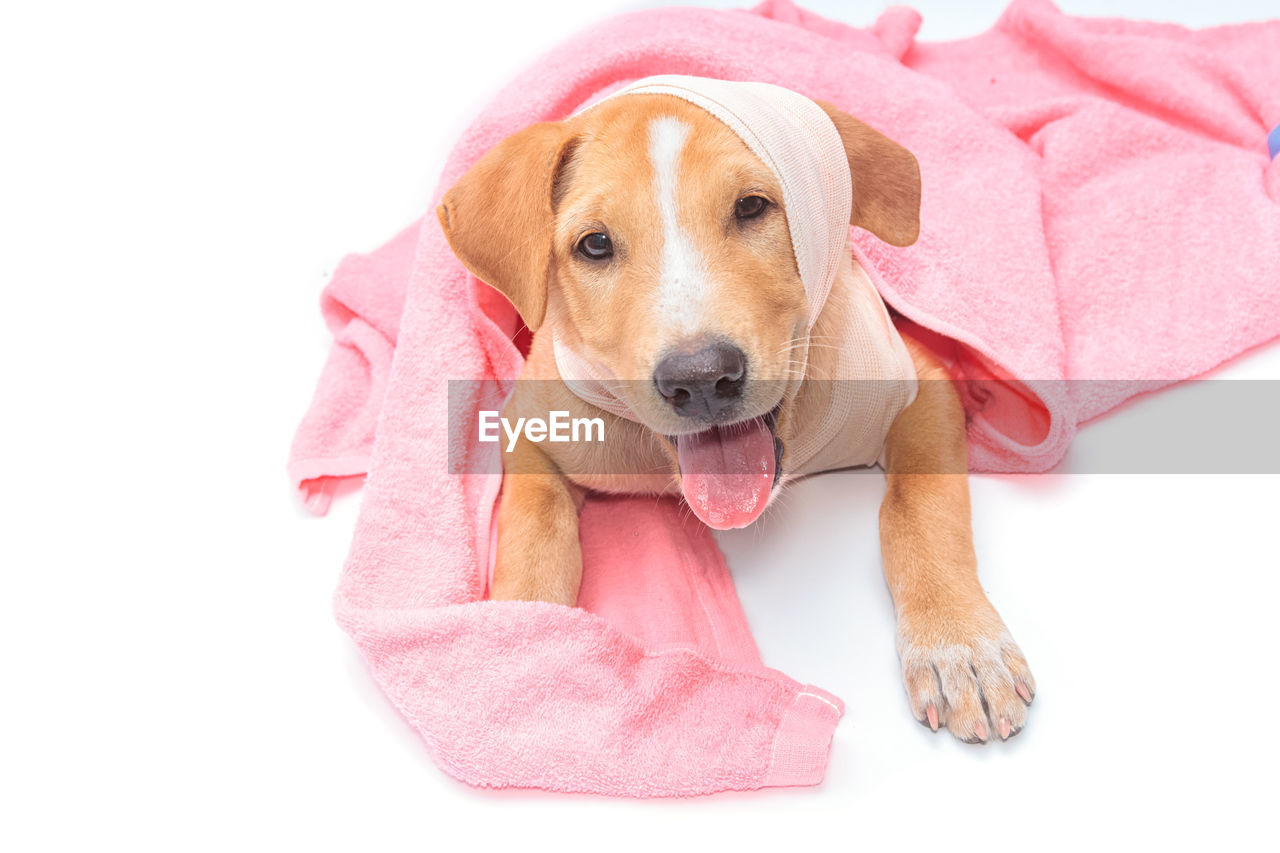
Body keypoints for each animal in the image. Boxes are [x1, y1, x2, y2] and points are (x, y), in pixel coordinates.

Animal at [435, 81, 1034, 742]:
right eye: (594, 244)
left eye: (751, 208)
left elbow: (920, 509)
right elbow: (533, 532)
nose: (701, 379)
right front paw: (525, 644)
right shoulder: (533, 424)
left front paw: (959, 645)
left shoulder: (918, 383)